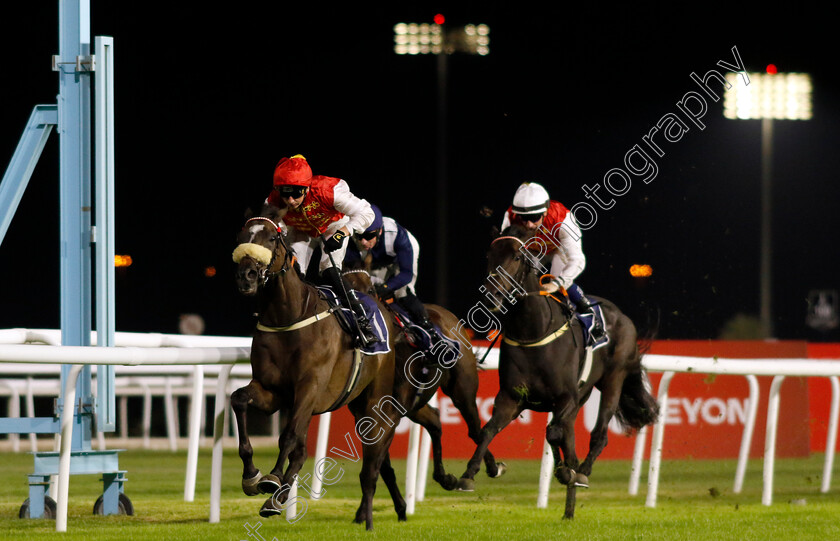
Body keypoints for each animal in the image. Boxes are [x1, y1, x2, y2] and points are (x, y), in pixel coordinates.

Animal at [231, 207, 408, 528]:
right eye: (241, 237)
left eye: (272, 237)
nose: (246, 275)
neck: (288, 317)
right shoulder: (272, 391)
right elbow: (239, 399)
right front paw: (252, 476)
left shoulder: (309, 387)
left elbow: (288, 436)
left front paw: (271, 478)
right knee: (301, 452)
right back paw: (278, 500)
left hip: (373, 399)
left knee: (371, 455)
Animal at [342, 262, 506, 490]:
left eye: (371, 290)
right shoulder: (368, 414)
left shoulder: (391, 411)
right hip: (415, 405)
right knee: (435, 421)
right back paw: (445, 477)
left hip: (462, 389)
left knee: (475, 429)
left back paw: (486, 470)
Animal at [456, 225, 660, 520]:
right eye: (489, 255)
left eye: (516, 256)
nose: (491, 296)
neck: (533, 331)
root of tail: (622, 316)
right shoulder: (511, 398)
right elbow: (488, 430)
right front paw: (471, 474)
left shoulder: (566, 397)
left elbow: (553, 433)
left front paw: (566, 472)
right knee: (567, 440)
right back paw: (568, 510)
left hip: (613, 379)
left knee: (598, 434)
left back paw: (581, 473)